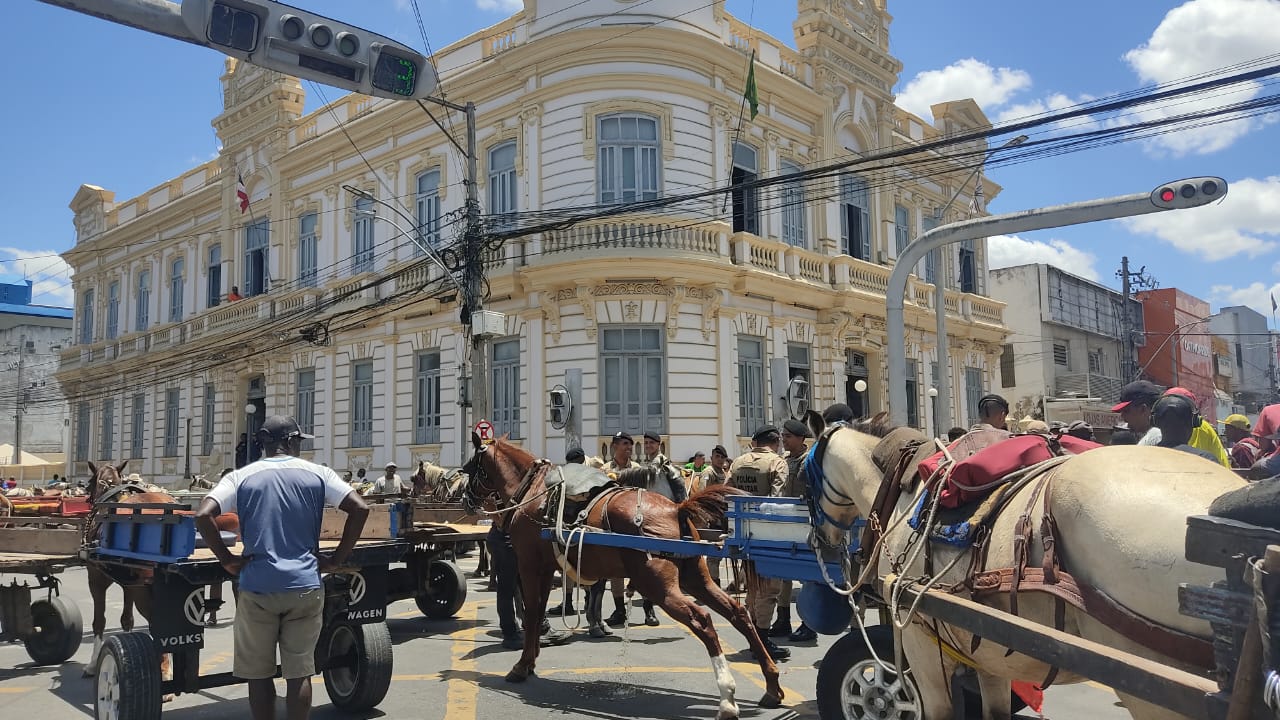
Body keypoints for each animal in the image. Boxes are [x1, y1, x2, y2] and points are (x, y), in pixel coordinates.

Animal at [460, 435, 778, 712]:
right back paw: (772, 684)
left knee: (703, 620)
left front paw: (523, 665)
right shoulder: (546, 567)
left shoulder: (529, 565)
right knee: (737, 612)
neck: (533, 491)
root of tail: (677, 510)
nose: (465, 499)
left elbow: (533, 612)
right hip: (694, 578)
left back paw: (727, 697)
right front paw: (533, 657)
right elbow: (539, 611)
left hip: (658, 585)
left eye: (469, 467)